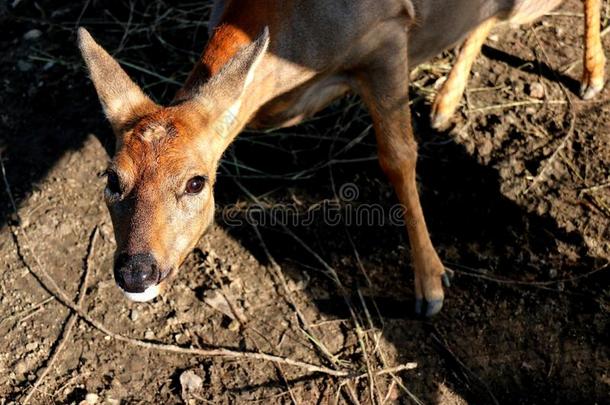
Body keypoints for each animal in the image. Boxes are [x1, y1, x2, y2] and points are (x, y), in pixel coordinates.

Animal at [79, 0, 604, 316]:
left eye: (195, 182)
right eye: (111, 179)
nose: (136, 271)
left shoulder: (388, 37)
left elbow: (398, 156)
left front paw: (431, 285)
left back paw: (592, 75)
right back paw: (446, 102)